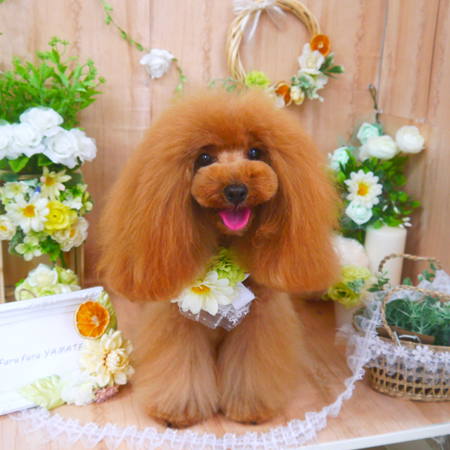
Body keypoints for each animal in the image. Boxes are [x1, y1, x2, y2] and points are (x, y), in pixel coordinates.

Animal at [99, 88, 339, 427]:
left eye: (255, 152)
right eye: (204, 158)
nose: (236, 190)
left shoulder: (258, 317)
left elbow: (251, 365)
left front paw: (249, 407)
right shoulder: (179, 320)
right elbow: (181, 365)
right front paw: (178, 410)